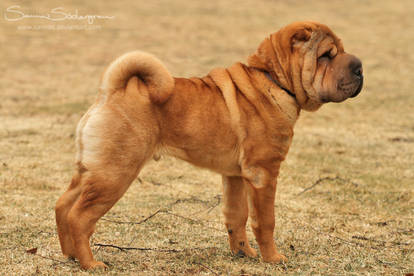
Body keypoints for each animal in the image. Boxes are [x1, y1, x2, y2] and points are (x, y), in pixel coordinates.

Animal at [54, 21, 362, 270]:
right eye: (326, 55)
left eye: (341, 50)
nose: (359, 67)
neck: (273, 80)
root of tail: (110, 92)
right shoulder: (263, 173)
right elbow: (265, 221)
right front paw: (273, 258)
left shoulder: (235, 176)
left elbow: (236, 217)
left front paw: (244, 254)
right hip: (115, 173)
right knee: (80, 217)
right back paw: (90, 263)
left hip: (93, 170)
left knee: (63, 205)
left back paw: (70, 255)